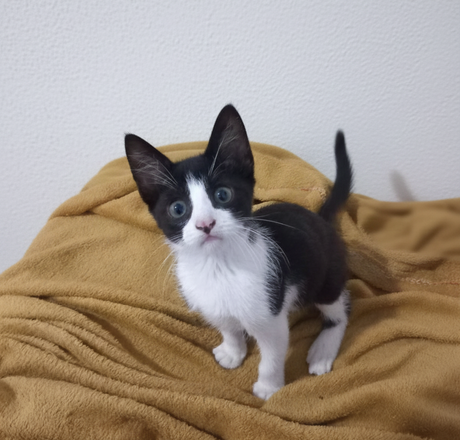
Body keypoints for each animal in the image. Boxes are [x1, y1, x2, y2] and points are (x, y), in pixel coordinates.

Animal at [125, 104, 352, 400]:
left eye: (223, 195)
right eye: (178, 209)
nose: (205, 224)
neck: (218, 267)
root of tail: (320, 219)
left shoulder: (270, 314)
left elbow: (271, 356)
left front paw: (269, 387)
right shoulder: (211, 304)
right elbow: (228, 327)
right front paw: (233, 352)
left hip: (324, 277)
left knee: (340, 308)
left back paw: (322, 351)